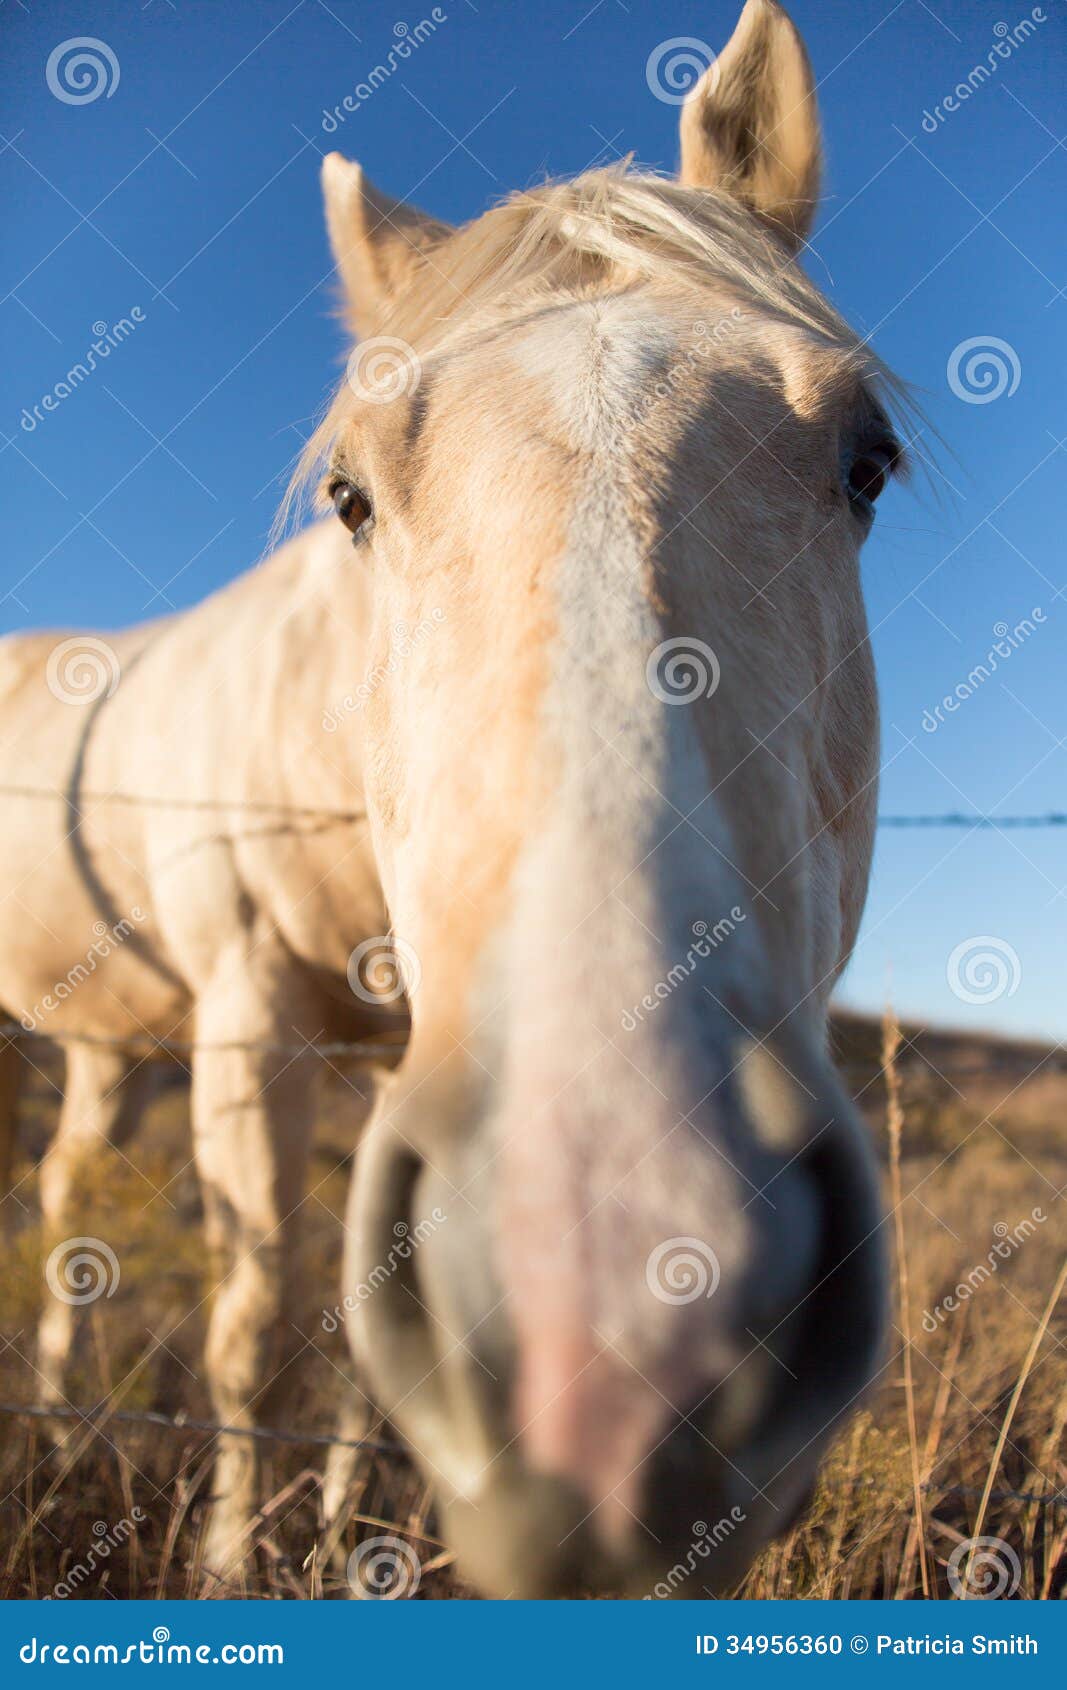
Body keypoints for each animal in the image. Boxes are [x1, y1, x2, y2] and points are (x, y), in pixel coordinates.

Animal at [2, 0, 913, 1588]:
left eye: (866, 462)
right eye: (350, 497)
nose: (617, 1325)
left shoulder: (385, 1062)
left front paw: (337, 1531)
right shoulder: (250, 1013)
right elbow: (253, 1334)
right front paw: (235, 1561)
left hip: (106, 1048)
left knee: (64, 1205)